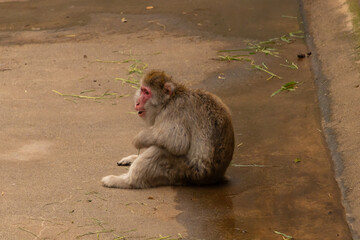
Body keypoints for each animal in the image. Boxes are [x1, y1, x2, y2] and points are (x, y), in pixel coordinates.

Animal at [101, 70, 235, 188]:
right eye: (142, 90)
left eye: (147, 92)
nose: (137, 103)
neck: (169, 100)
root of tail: (216, 177)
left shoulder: (174, 111)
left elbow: (178, 142)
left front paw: (140, 138)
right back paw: (134, 160)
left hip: (185, 172)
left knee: (161, 151)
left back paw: (125, 181)